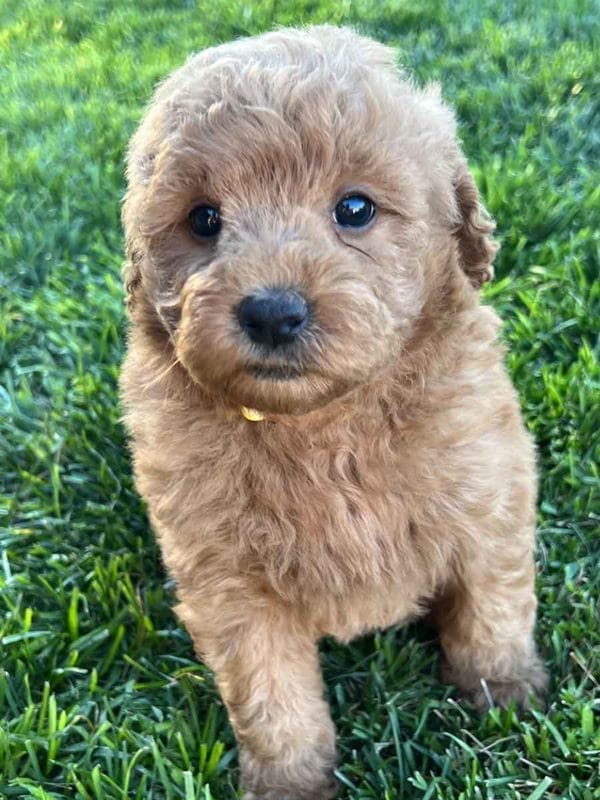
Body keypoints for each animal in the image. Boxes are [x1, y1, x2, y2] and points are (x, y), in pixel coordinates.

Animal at [119, 25, 548, 800]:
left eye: (355, 209)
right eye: (203, 219)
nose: (271, 311)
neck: (322, 420)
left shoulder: (489, 494)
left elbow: (491, 605)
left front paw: (504, 693)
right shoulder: (226, 579)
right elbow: (269, 692)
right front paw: (290, 780)